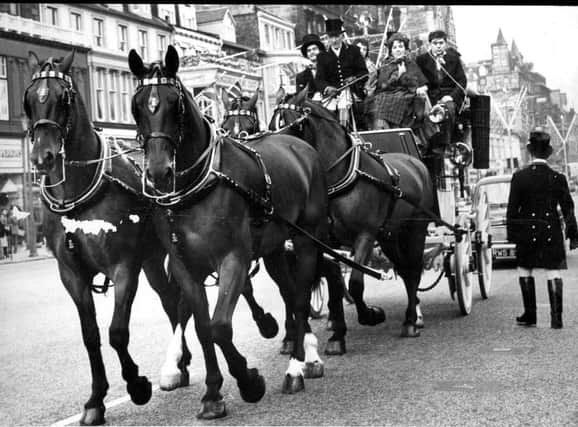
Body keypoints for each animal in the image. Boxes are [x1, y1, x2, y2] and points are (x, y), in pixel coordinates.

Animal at [23, 49, 191, 424]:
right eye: (28, 100)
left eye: (63, 98)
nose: (43, 156)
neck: (77, 193)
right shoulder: (71, 274)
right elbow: (90, 336)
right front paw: (95, 400)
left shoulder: (123, 266)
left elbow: (117, 332)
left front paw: (137, 384)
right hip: (152, 261)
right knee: (170, 299)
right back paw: (181, 363)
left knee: (175, 300)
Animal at [130, 45, 328, 420]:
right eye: (137, 106)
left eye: (175, 103)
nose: (159, 173)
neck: (197, 186)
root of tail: (298, 145)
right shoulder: (185, 266)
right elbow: (203, 327)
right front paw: (212, 393)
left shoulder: (234, 257)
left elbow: (221, 326)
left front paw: (249, 381)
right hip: (274, 246)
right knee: (289, 290)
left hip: (307, 239)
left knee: (299, 295)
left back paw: (299, 363)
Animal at [268, 87, 432, 352]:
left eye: (292, 125)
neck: (340, 176)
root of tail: (415, 162)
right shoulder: (323, 241)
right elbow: (333, 281)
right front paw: (337, 334)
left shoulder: (365, 234)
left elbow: (355, 282)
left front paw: (370, 315)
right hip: (390, 235)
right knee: (405, 269)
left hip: (415, 230)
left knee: (413, 269)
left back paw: (411, 320)